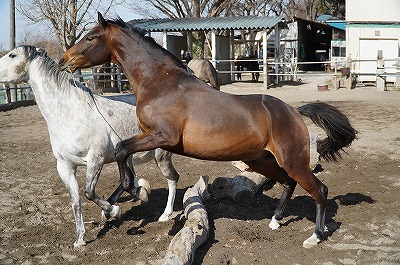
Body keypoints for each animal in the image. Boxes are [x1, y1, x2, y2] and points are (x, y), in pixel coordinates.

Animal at [59, 12, 356, 248]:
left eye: (91, 37)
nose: (64, 60)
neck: (160, 84)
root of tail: (294, 112)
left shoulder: (162, 137)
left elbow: (122, 151)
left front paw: (131, 192)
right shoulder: (150, 138)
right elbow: (123, 154)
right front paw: (123, 199)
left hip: (292, 161)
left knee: (319, 190)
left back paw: (315, 236)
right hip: (262, 160)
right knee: (288, 183)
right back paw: (274, 220)